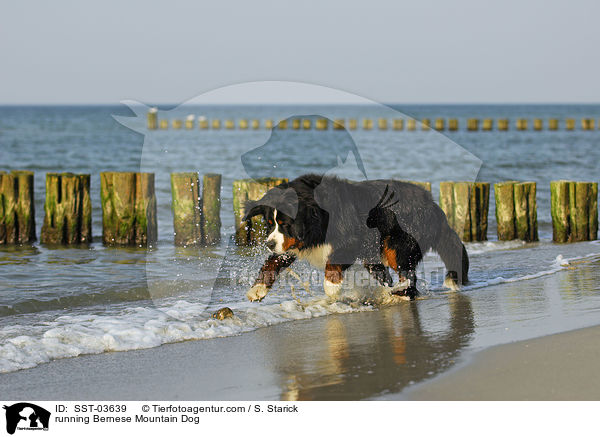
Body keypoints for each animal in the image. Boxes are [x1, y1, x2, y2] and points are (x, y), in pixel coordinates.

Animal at [244, 173, 468, 300]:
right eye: (270, 224)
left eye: (286, 224)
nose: (269, 244)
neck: (320, 216)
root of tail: (434, 206)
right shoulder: (295, 243)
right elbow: (271, 263)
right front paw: (258, 289)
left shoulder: (351, 241)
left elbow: (333, 263)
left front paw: (332, 288)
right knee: (387, 277)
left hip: (397, 246)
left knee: (408, 277)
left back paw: (401, 295)